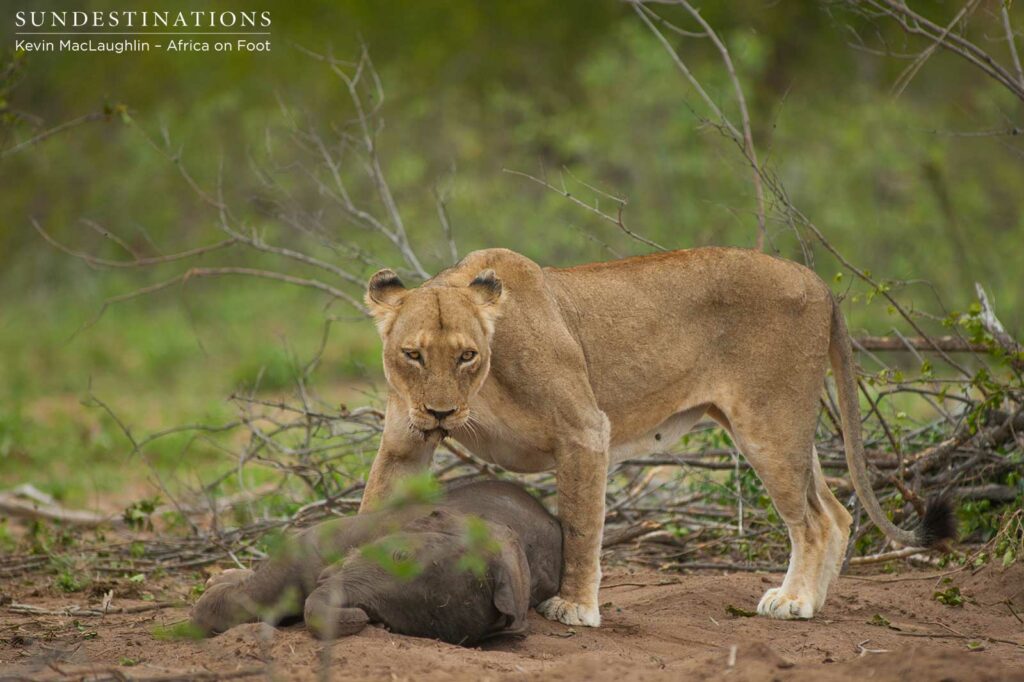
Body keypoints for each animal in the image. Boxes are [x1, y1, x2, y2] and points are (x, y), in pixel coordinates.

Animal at [359, 247, 955, 627]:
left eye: (467, 355)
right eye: (412, 354)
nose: (440, 411)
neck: (482, 385)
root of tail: (817, 282)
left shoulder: (585, 430)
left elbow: (581, 527)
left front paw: (576, 608)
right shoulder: (405, 442)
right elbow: (373, 506)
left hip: (769, 424)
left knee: (811, 521)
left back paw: (794, 603)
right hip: (784, 427)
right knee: (835, 512)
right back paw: (815, 600)